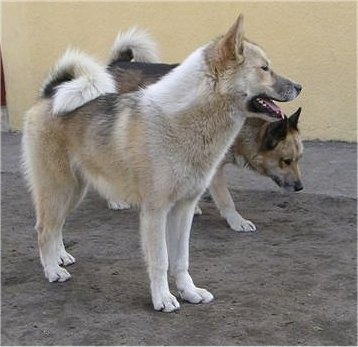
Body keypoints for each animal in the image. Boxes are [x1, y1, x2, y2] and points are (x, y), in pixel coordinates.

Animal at [22, 16, 300, 314]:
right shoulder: (155, 212)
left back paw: (61, 257)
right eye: (264, 69)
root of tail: (50, 94)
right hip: (57, 188)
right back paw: (52, 270)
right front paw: (163, 298)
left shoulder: (183, 209)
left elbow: (181, 260)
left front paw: (189, 292)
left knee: (56, 227)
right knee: (43, 229)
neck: (183, 121)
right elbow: (160, 260)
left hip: (73, 191)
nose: (299, 87)